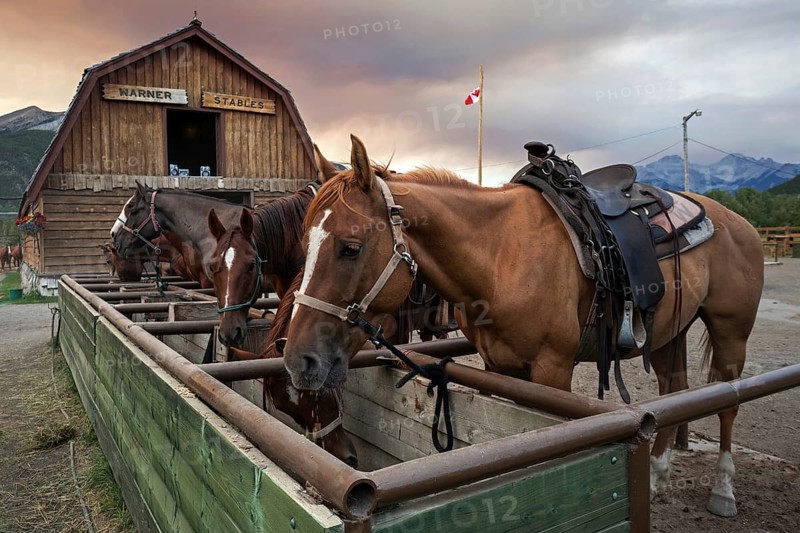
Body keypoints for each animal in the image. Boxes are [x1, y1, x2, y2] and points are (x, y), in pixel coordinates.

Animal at [282, 135, 764, 517]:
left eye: (350, 247)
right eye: (304, 243)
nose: (298, 360)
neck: (500, 258)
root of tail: (738, 222)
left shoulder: (552, 371)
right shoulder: (501, 367)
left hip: (730, 333)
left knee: (728, 401)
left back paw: (723, 492)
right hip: (667, 334)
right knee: (673, 390)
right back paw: (657, 477)